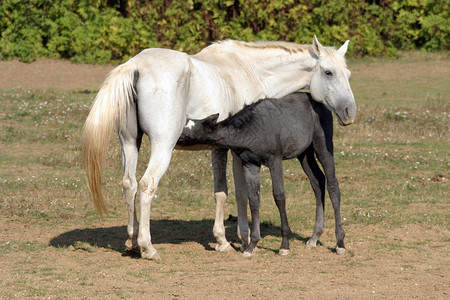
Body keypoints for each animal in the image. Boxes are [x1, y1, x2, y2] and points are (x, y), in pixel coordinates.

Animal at [81, 35, 356, 260]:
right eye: (329, 72)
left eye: (348, 73)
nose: (349, 112)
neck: (249, 69)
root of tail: (136, 65)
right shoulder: (238, 153)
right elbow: (241, 194)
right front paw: (244, 240)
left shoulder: (220, 150)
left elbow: (221, 192)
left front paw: (223, 240)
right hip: (162, 146)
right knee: (147, 185)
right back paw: (147, 247)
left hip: (129, 143)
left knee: (129, 185)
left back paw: (131, 242)